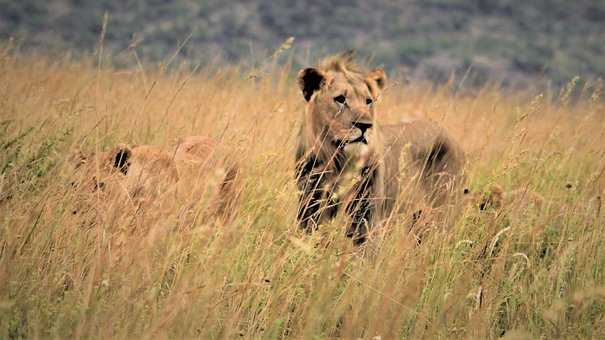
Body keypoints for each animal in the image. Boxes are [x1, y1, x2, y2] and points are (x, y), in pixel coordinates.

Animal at [294, 51, 464, 244]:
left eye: (368, 101)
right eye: (340, 99)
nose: (365, 125)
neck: (338, 163)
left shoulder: (368, 220)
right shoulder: (308, 207)